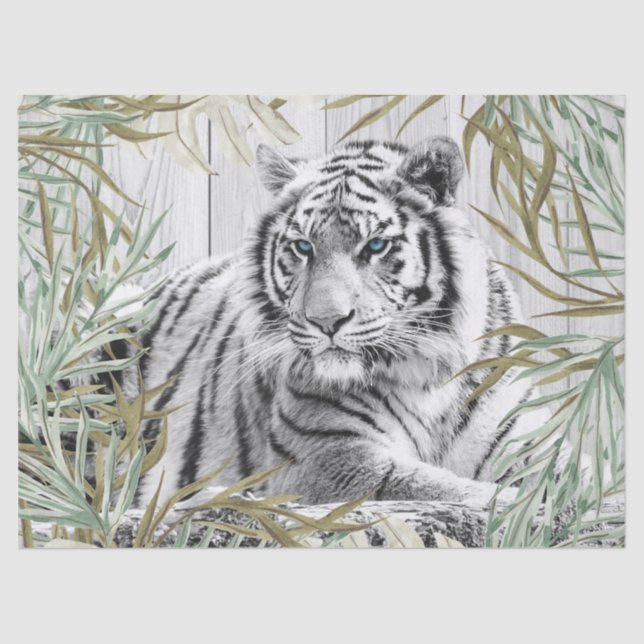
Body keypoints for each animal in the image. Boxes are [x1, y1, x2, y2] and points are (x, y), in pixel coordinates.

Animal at [122, 135, 549, 509]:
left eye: (375, 245)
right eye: (303, 247)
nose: (326, 321)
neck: (428, 378)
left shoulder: (518, 432)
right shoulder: (328, 455)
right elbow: (432, 486)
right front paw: (510, 501)